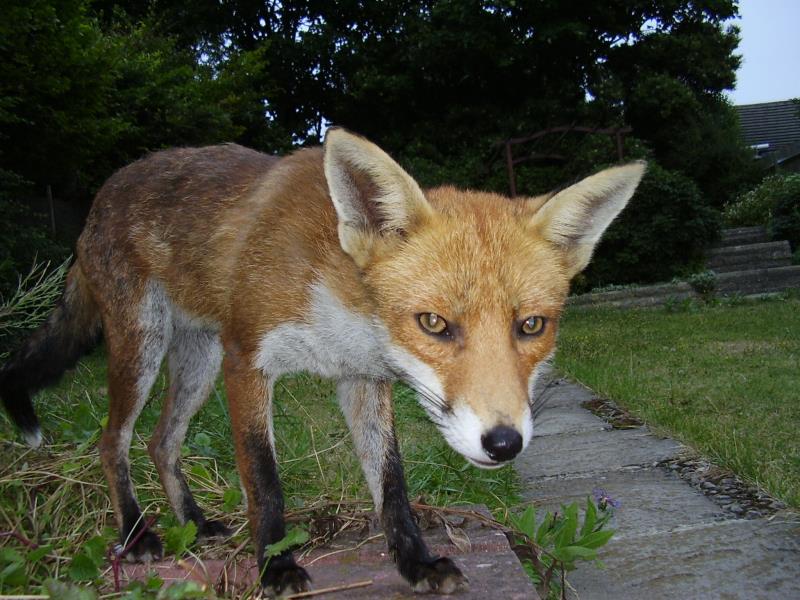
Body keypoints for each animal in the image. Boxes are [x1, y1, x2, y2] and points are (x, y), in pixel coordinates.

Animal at [0, 130, 648, 596]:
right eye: (434, 324)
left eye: (531, 326)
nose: (504, 444)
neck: (344, 307)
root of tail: (101, 196)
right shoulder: (247, 360)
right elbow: (264, 480)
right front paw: (276, 567)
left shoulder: (361, 379)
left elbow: (392, 484)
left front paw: (415, 563)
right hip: (145, 348)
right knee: (113, 441)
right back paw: (137, 534)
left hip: (197, 362)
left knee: (162, 441)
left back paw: (197, 524)